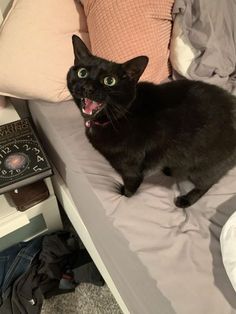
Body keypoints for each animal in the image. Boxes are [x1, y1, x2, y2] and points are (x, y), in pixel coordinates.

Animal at [66, 35, 236, 207]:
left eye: (110, 81)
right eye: (82, 72)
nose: (87, 87)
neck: (122, 116)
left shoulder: (131, 170)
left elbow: (130, 187)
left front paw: (125, 195)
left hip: (206, 166)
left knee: (206, 184)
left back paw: (186, 200)